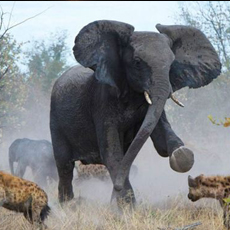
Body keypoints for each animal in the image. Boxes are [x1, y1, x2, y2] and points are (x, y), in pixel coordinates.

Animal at [49, 20, 221, 205]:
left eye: (172, 64)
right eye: (137, 62)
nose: (116, 188)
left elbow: (161, 142)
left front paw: (182, 154)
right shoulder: (101, 101)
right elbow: (111, 154)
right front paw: (125, 206)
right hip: (55, 120)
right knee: (64, 166)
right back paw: (67, 204)